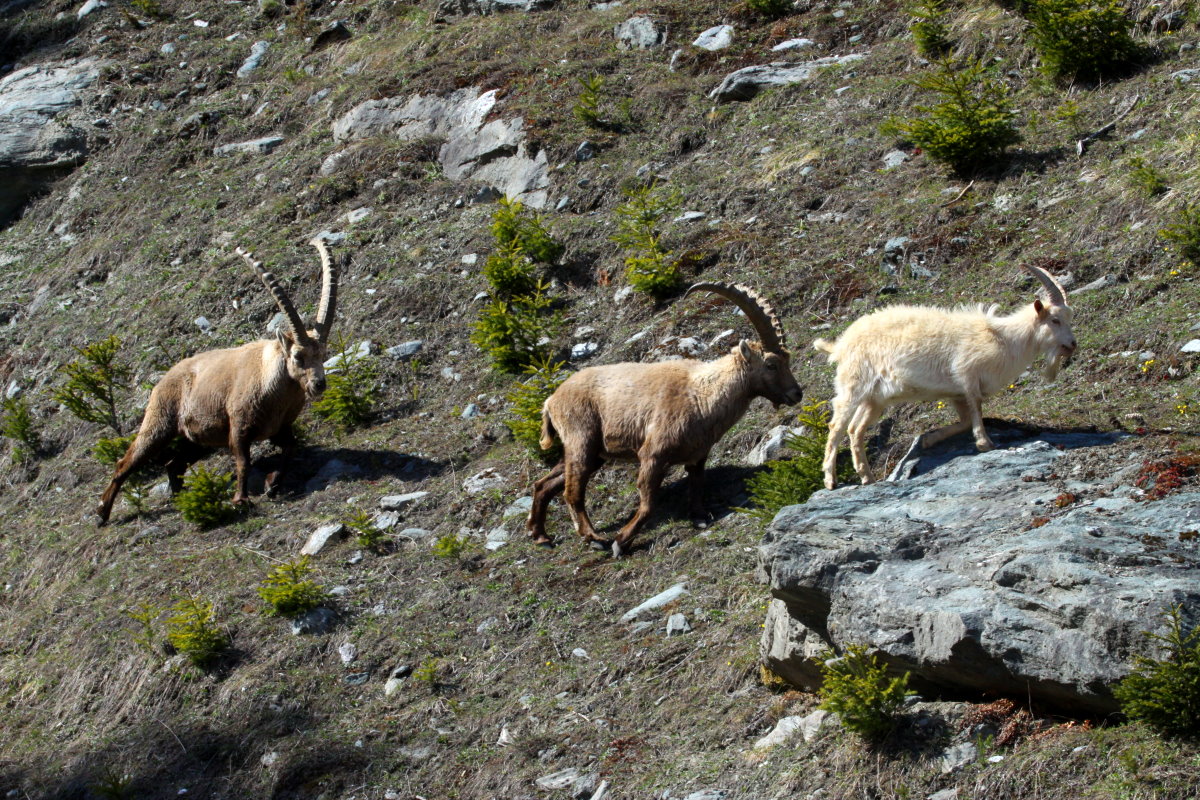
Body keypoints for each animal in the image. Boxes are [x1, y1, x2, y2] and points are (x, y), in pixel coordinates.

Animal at [816, 266, 1080, 489]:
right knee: (837, 426)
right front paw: (984, 443)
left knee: (855, 429)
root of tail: (840, 344)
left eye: (1069, 319)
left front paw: (929, 439)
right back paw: (830, 480)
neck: (1005, 338)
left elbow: (964, 420)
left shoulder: (956, 393)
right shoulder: (967, 375)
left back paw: (867, 477)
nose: (1072, 345)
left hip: (875, 399)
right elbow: (976, 410)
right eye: (1055, 320)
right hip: (852, 386)